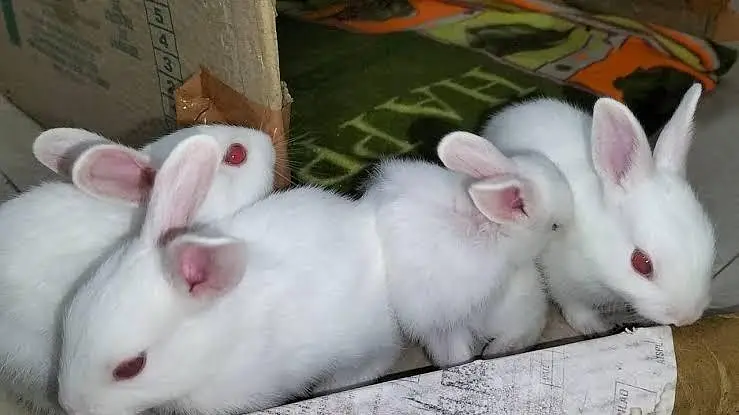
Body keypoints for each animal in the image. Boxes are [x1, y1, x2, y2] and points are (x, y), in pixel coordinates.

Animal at [481, 83, 716, 335]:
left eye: (711, 244)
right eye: (641, 263)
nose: (686, 318)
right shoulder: (559, 276)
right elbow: (572, 304)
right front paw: (592, 327)